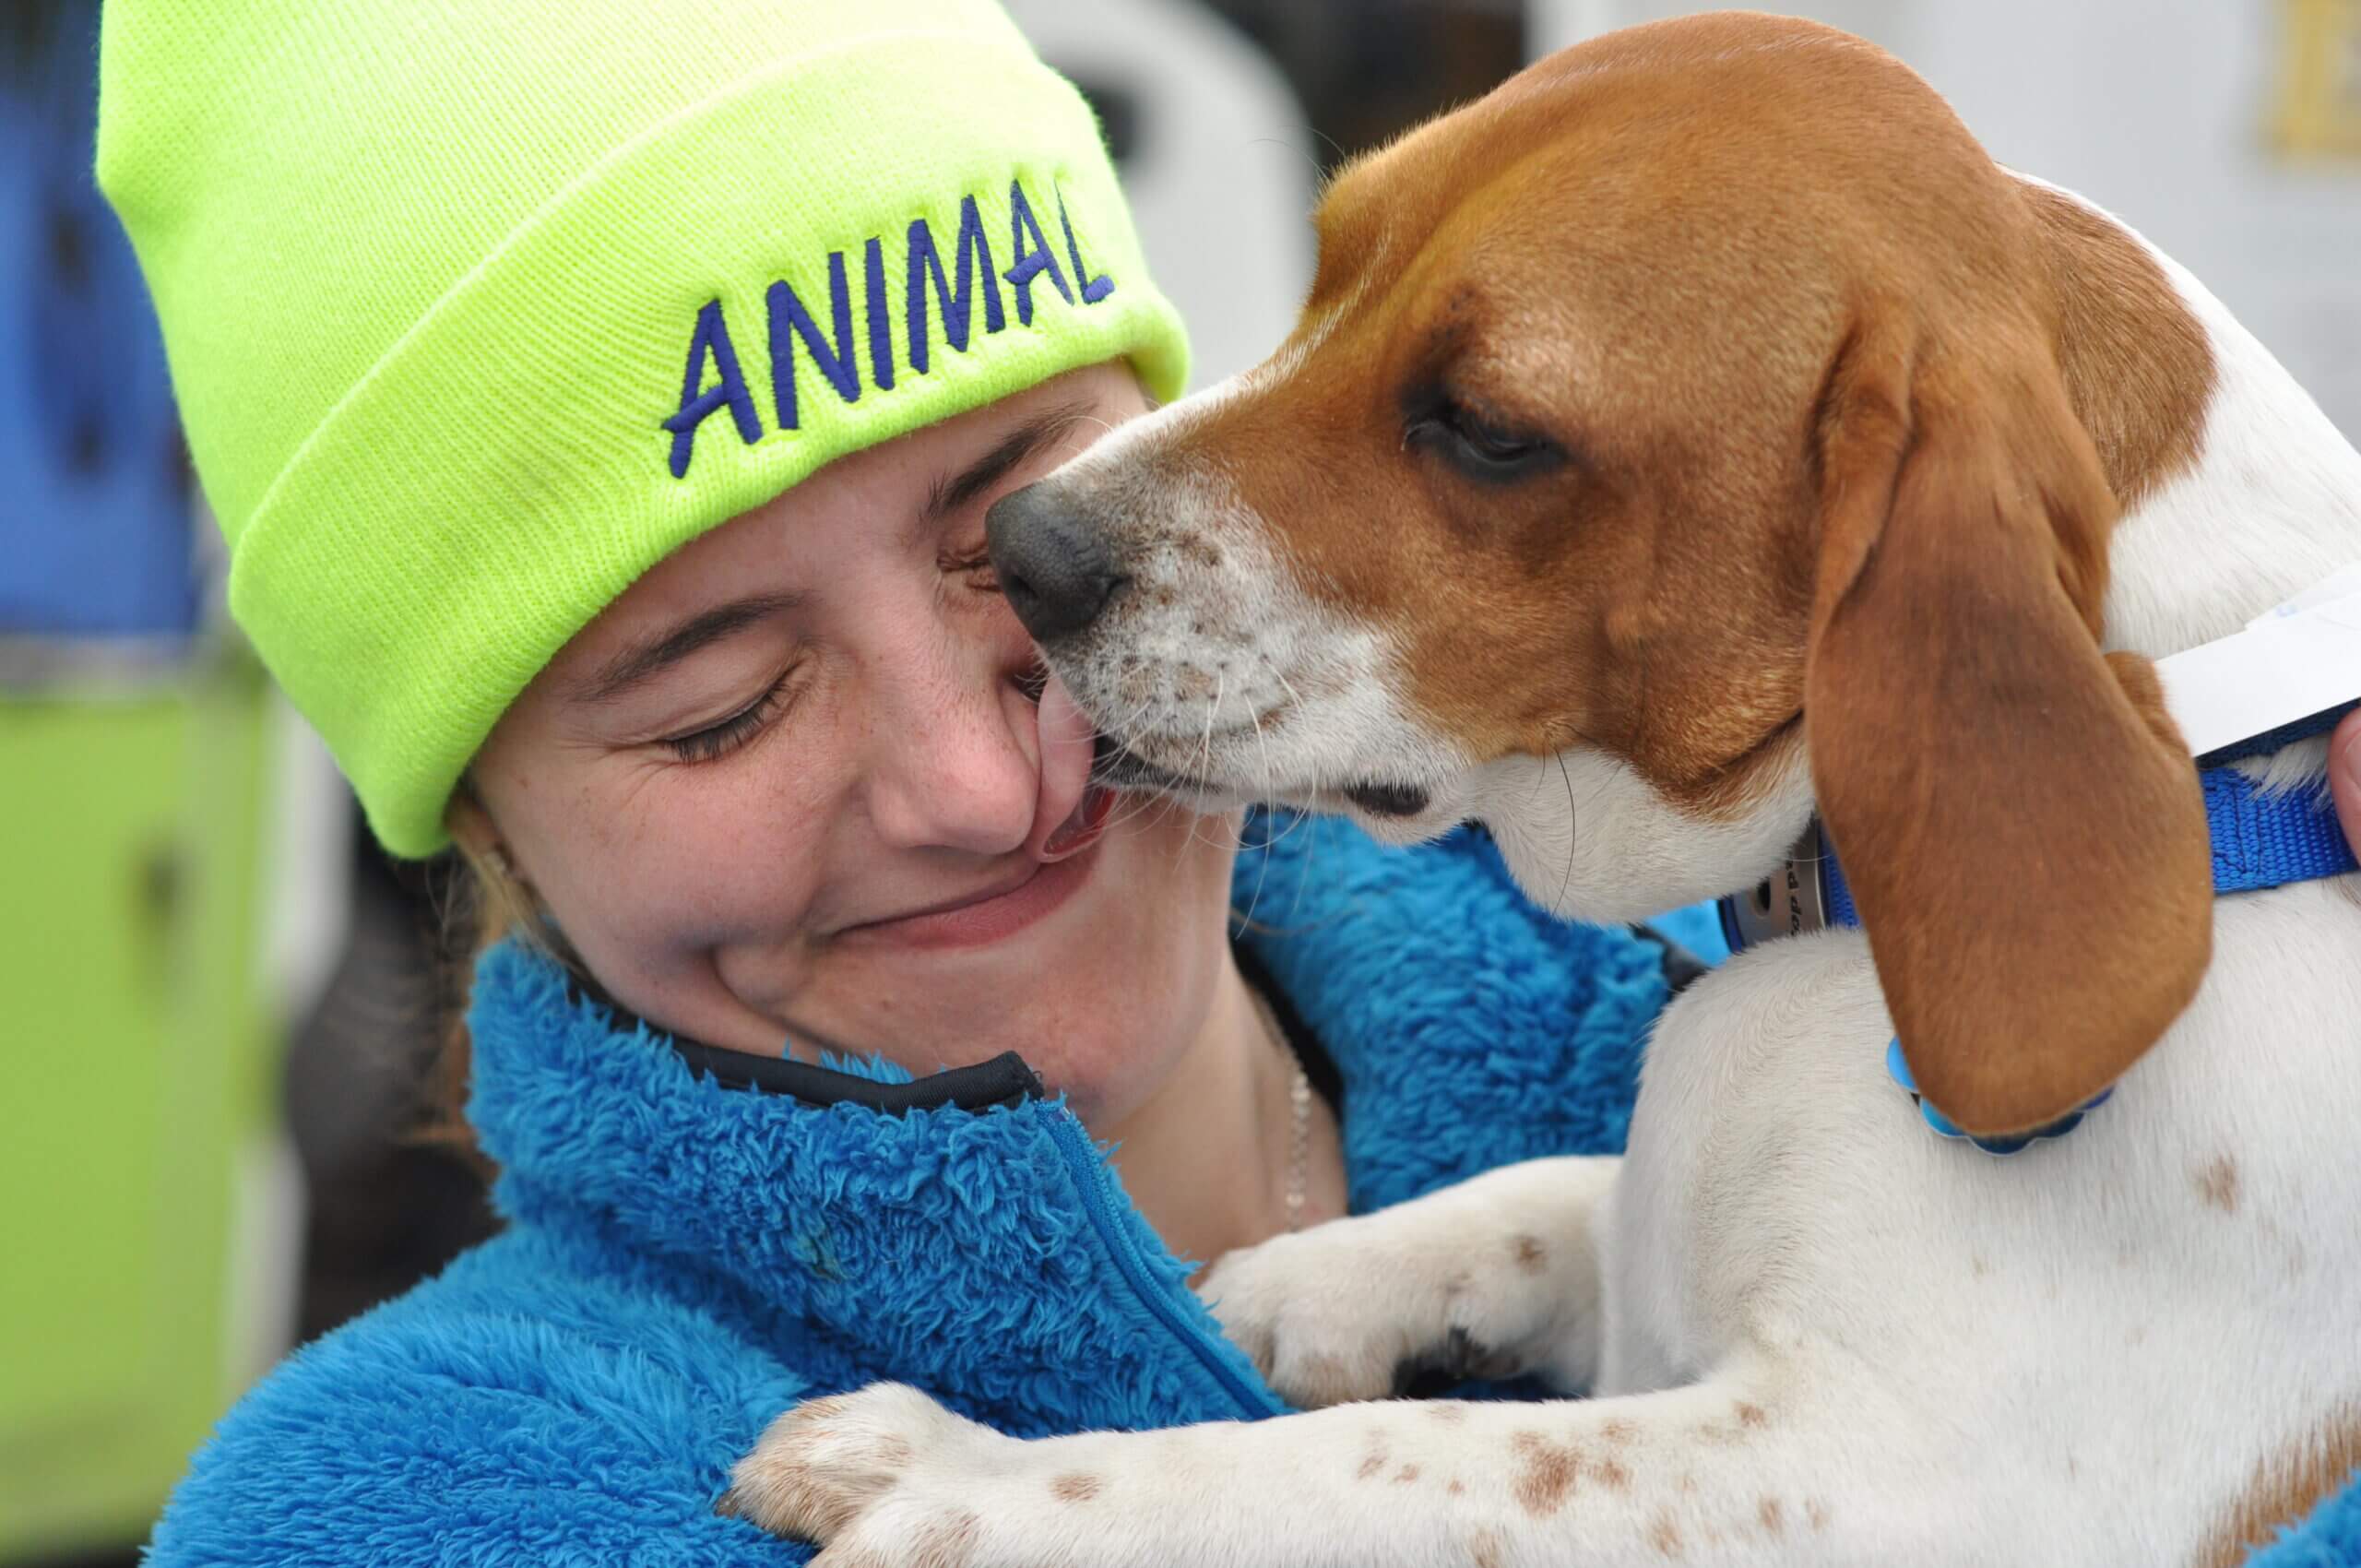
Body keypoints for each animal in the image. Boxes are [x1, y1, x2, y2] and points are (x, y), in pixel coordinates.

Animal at [731, 15, 2361, 1568]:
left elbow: (1388, 1462)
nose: (1025, 548)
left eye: (1489, 429)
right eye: (1332, 267)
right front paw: (1304, 1278)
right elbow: (1564, 1192)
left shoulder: (1896, 1484)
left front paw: (979, 1478)